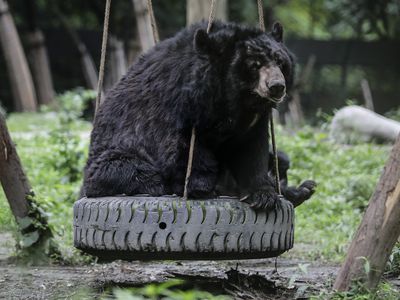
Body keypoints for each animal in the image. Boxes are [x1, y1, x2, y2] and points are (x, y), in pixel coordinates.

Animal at [83, 20, 316, 209]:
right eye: (254, 65)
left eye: (280, 61)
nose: (276, 86)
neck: (236, 99)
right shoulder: (179, 105)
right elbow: (183, 148)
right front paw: (200, 186)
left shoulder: (254, 122)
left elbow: (252, 150)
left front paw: (263, 195)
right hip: (111, 161)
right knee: (133, 170)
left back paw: (300, 190)